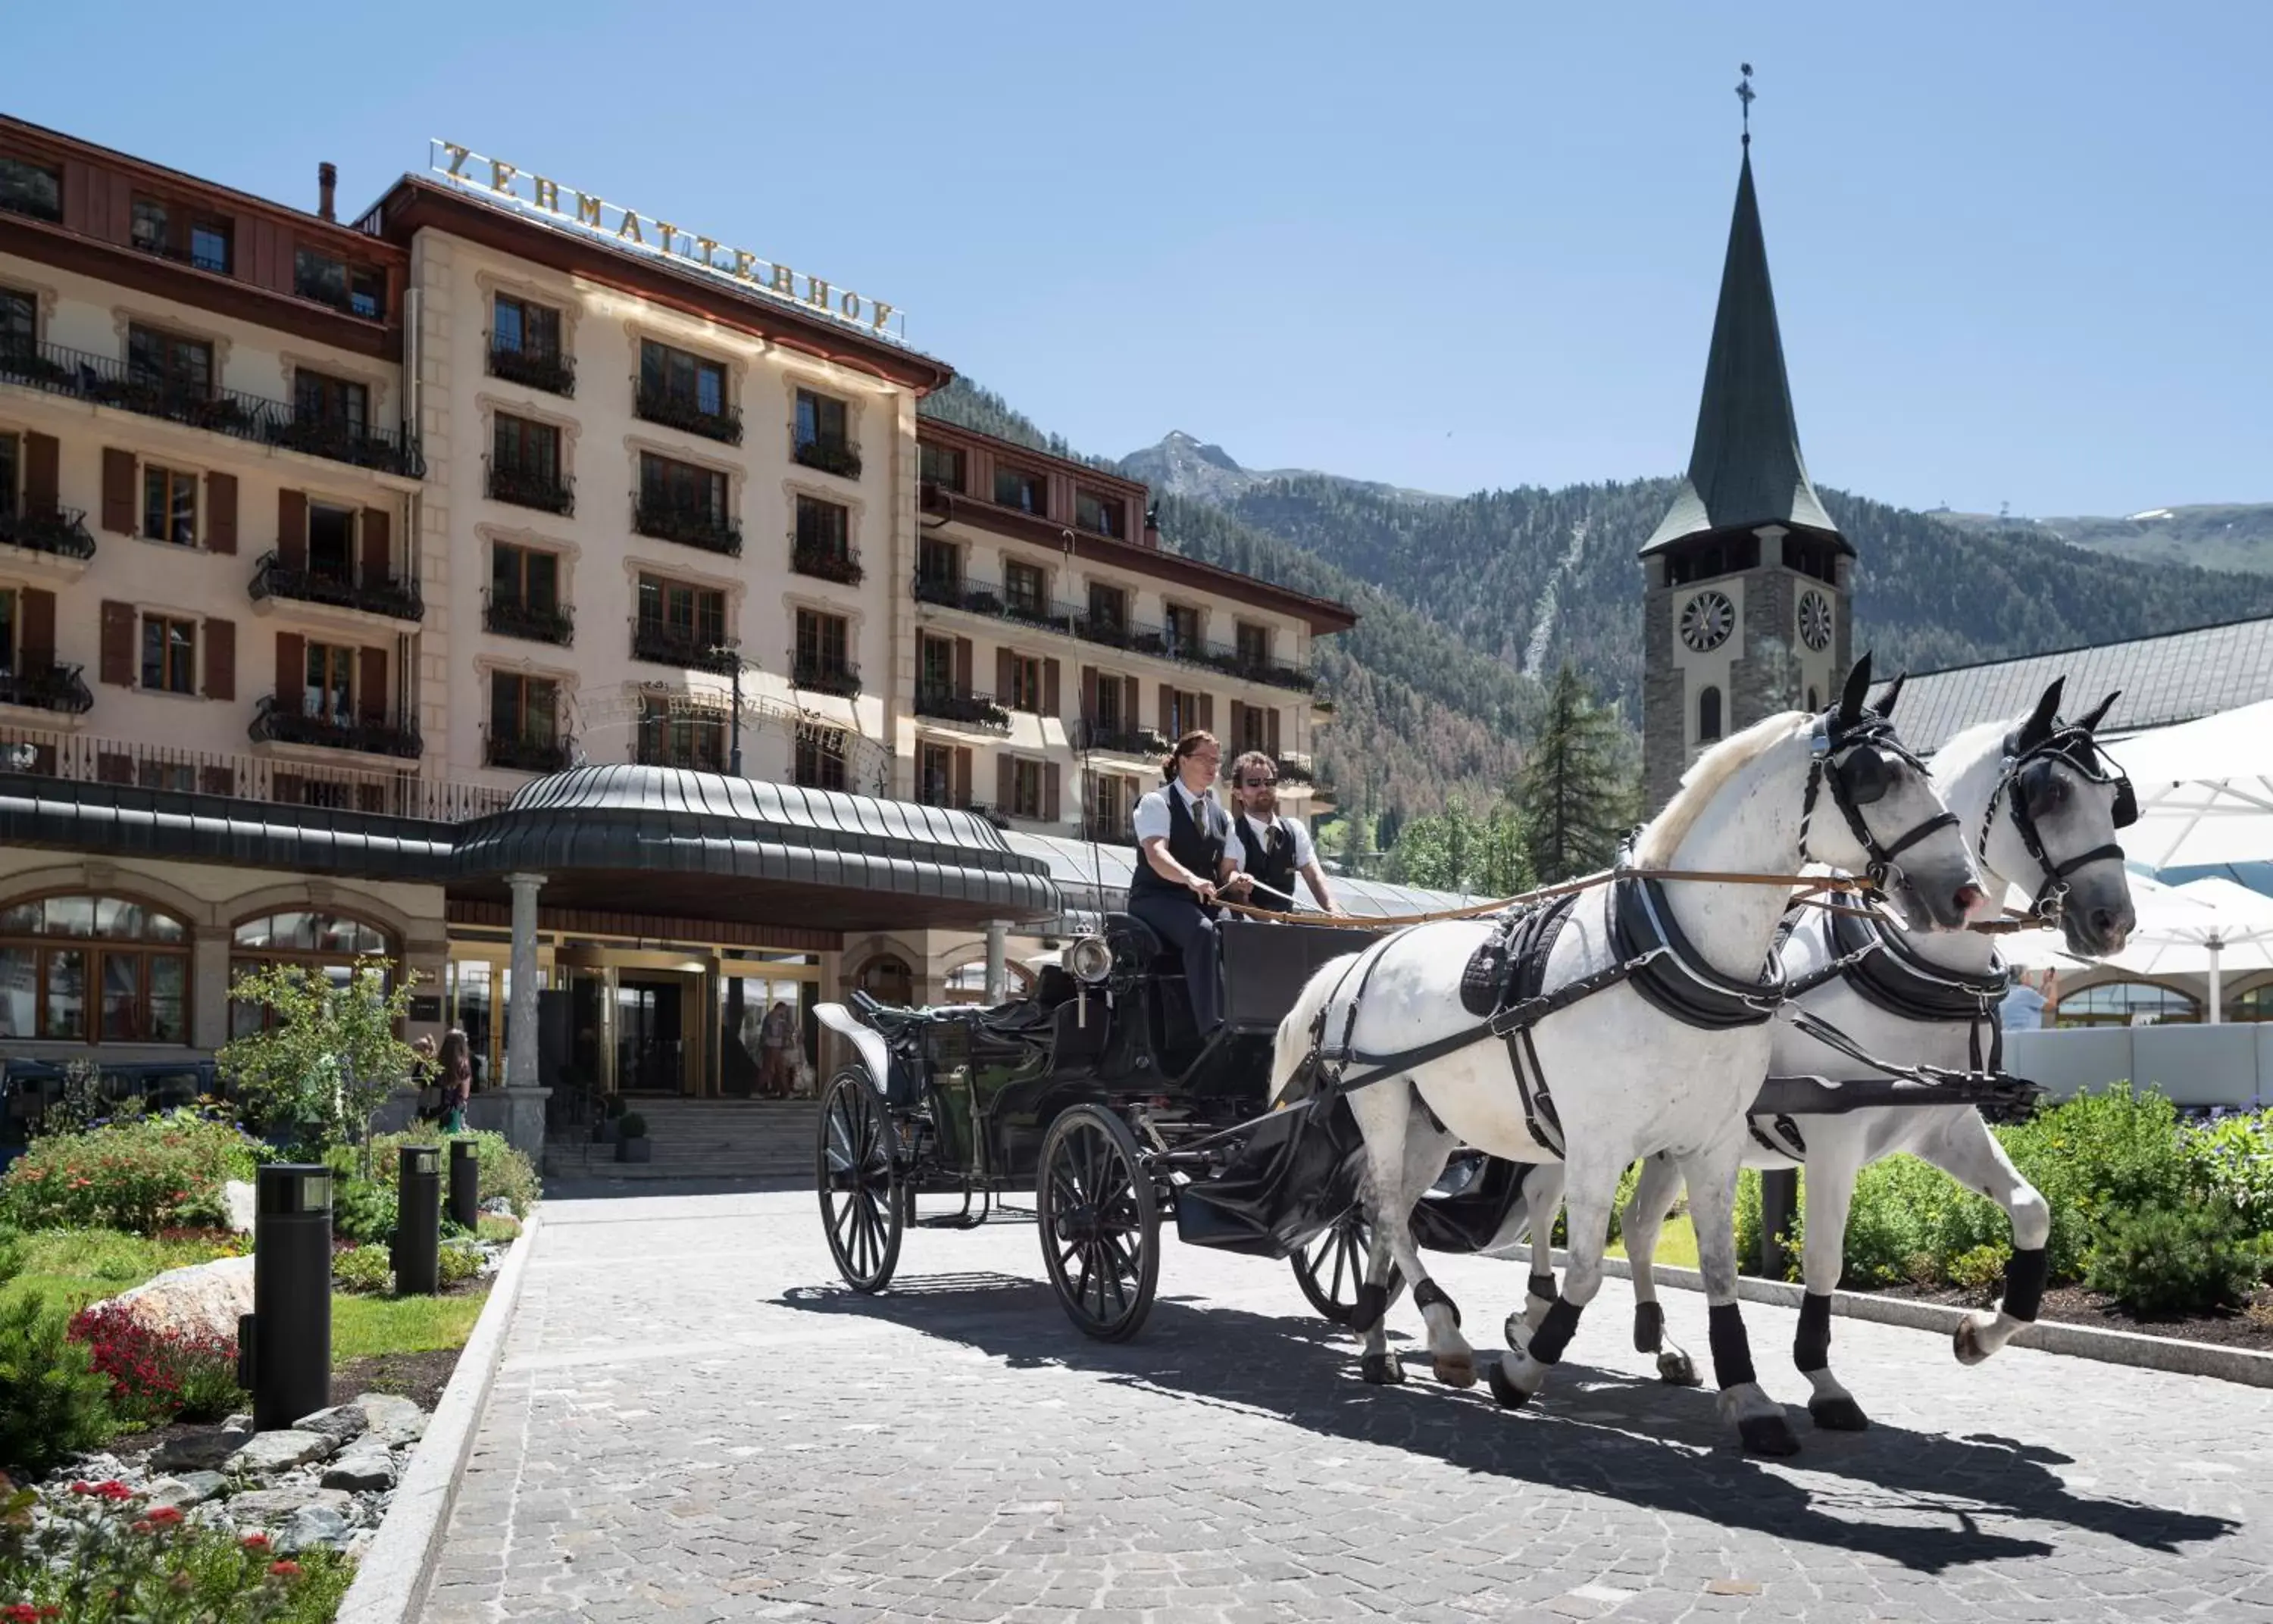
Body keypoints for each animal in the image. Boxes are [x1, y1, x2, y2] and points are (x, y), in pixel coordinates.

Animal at [1264, 658, 1991, 1463]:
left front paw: (1749, 1397)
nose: (1964, 894)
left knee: (1377, 1210)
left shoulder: (1709, 1143)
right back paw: (1442, 1334)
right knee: (1389, 1208)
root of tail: (1363, 955)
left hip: (1434, 1123)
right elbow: (1582, 1273)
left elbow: (1715, 1269)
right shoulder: (1597, 1144)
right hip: (1384, 1103)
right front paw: (1524, 1366)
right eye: (1871, 778)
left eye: (1922, 771)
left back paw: (1375, 1340)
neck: (1669, 955)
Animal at [1509, 681, 2128, 1426]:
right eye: (2049, 795)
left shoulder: (1942, 1124)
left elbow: (2033, 1210)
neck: (1904, 960)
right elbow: (1825, 1259)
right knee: (1545, 1198)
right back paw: (1532, 1315)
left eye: (2117, 802)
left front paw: (1982, 1334)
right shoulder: (1836, 1136)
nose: (2114, 921)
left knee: (1636, 1223)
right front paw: (1821, 1377)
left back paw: (1660, 1342)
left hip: (1669, 1142)